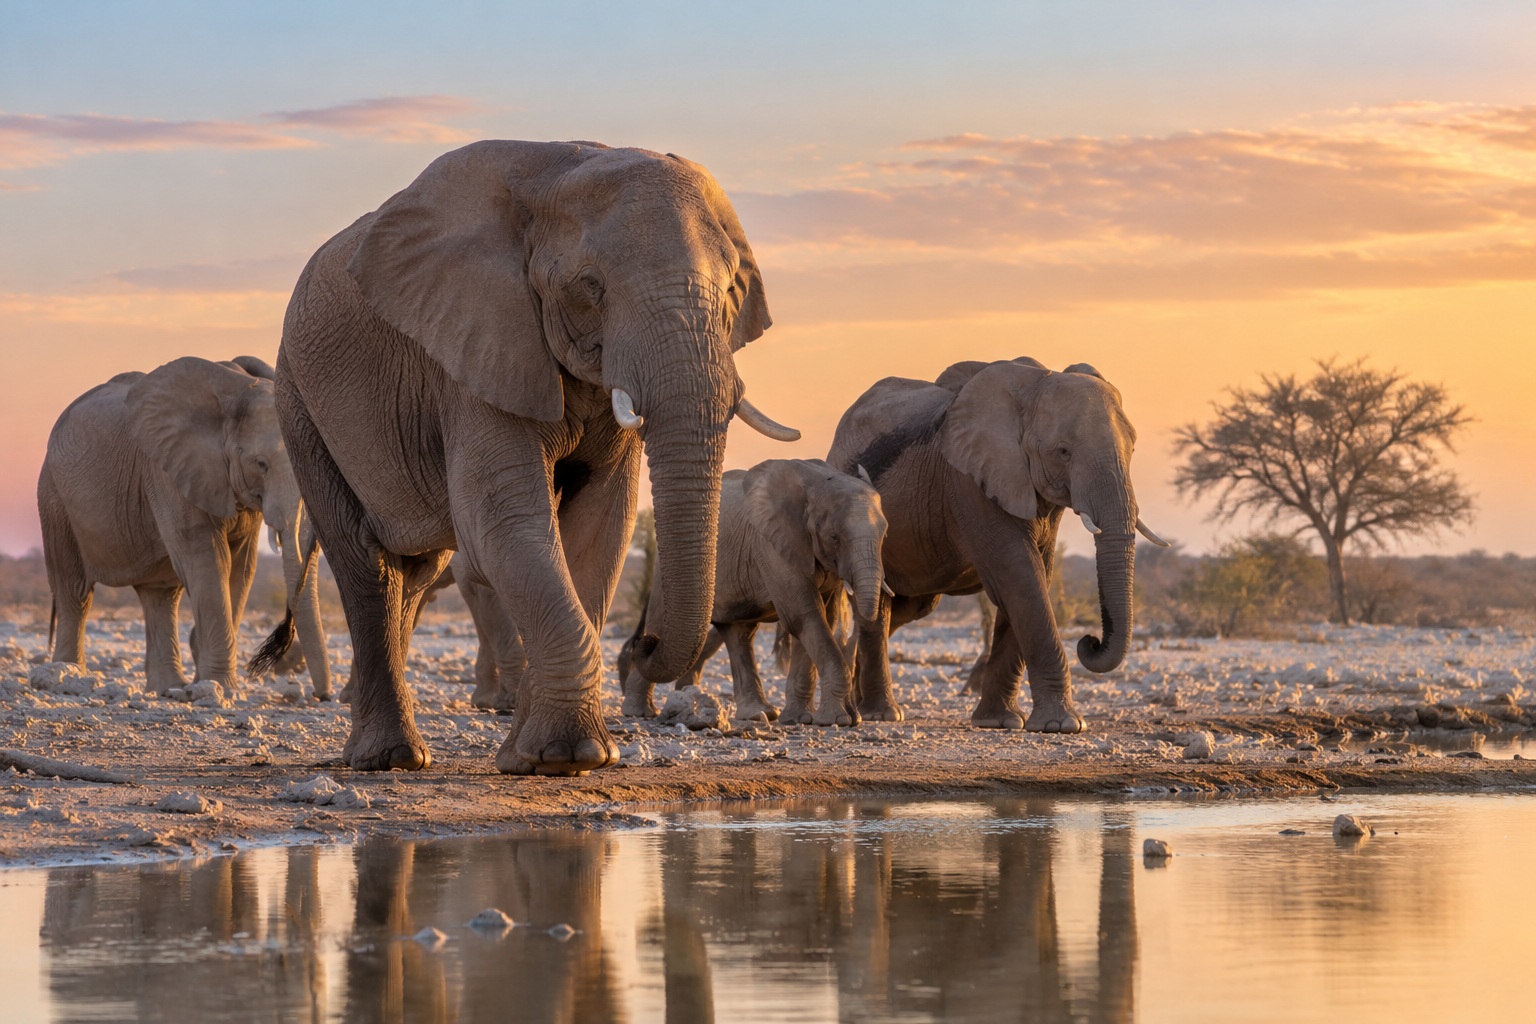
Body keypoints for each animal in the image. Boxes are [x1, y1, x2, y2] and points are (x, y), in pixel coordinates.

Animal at [37, 356, 331, 697]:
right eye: (261, 464)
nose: (322, 695)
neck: (237, 390)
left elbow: (242, 567)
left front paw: (205, 681)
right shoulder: (169, 473)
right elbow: (209, 560)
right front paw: (221, 689)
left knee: (160, 596)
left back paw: (168, 689)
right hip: (53, 496)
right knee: (74, 590)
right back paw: (65, 676)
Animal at [275, 139, 797, 774]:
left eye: (729, 291)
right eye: (590, 285)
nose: (642, 644)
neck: (559, 172)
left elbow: (601, 524)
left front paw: (538, 758)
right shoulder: (474, 348)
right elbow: (505, 520)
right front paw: (567, 757)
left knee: (416, 570)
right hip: (299, 400)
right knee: (365, 560)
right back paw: (388, 760)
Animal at [619, 459, 889, 725]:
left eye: (885, 534)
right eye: (834, 537)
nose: (855, 717)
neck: (817, 482)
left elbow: (823, 618)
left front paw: (800, 719)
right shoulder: (771, 545)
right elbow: (803, 615)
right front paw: (837, 720)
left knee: (740, 635)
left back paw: (758, 714)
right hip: (666, 570)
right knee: (661, 625)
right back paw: (639, 712)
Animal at [826, 357, 1169, 732]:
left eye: (1132, 448)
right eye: (1063, 452)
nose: (1089, 641)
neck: (1031, 386)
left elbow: (1036, 576)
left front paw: (999, 721)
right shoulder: (968, 483)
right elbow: (1021, 577)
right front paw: (1061, 725)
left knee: (906, 608)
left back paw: (859, 701)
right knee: (879, 607)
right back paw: (881, 713)